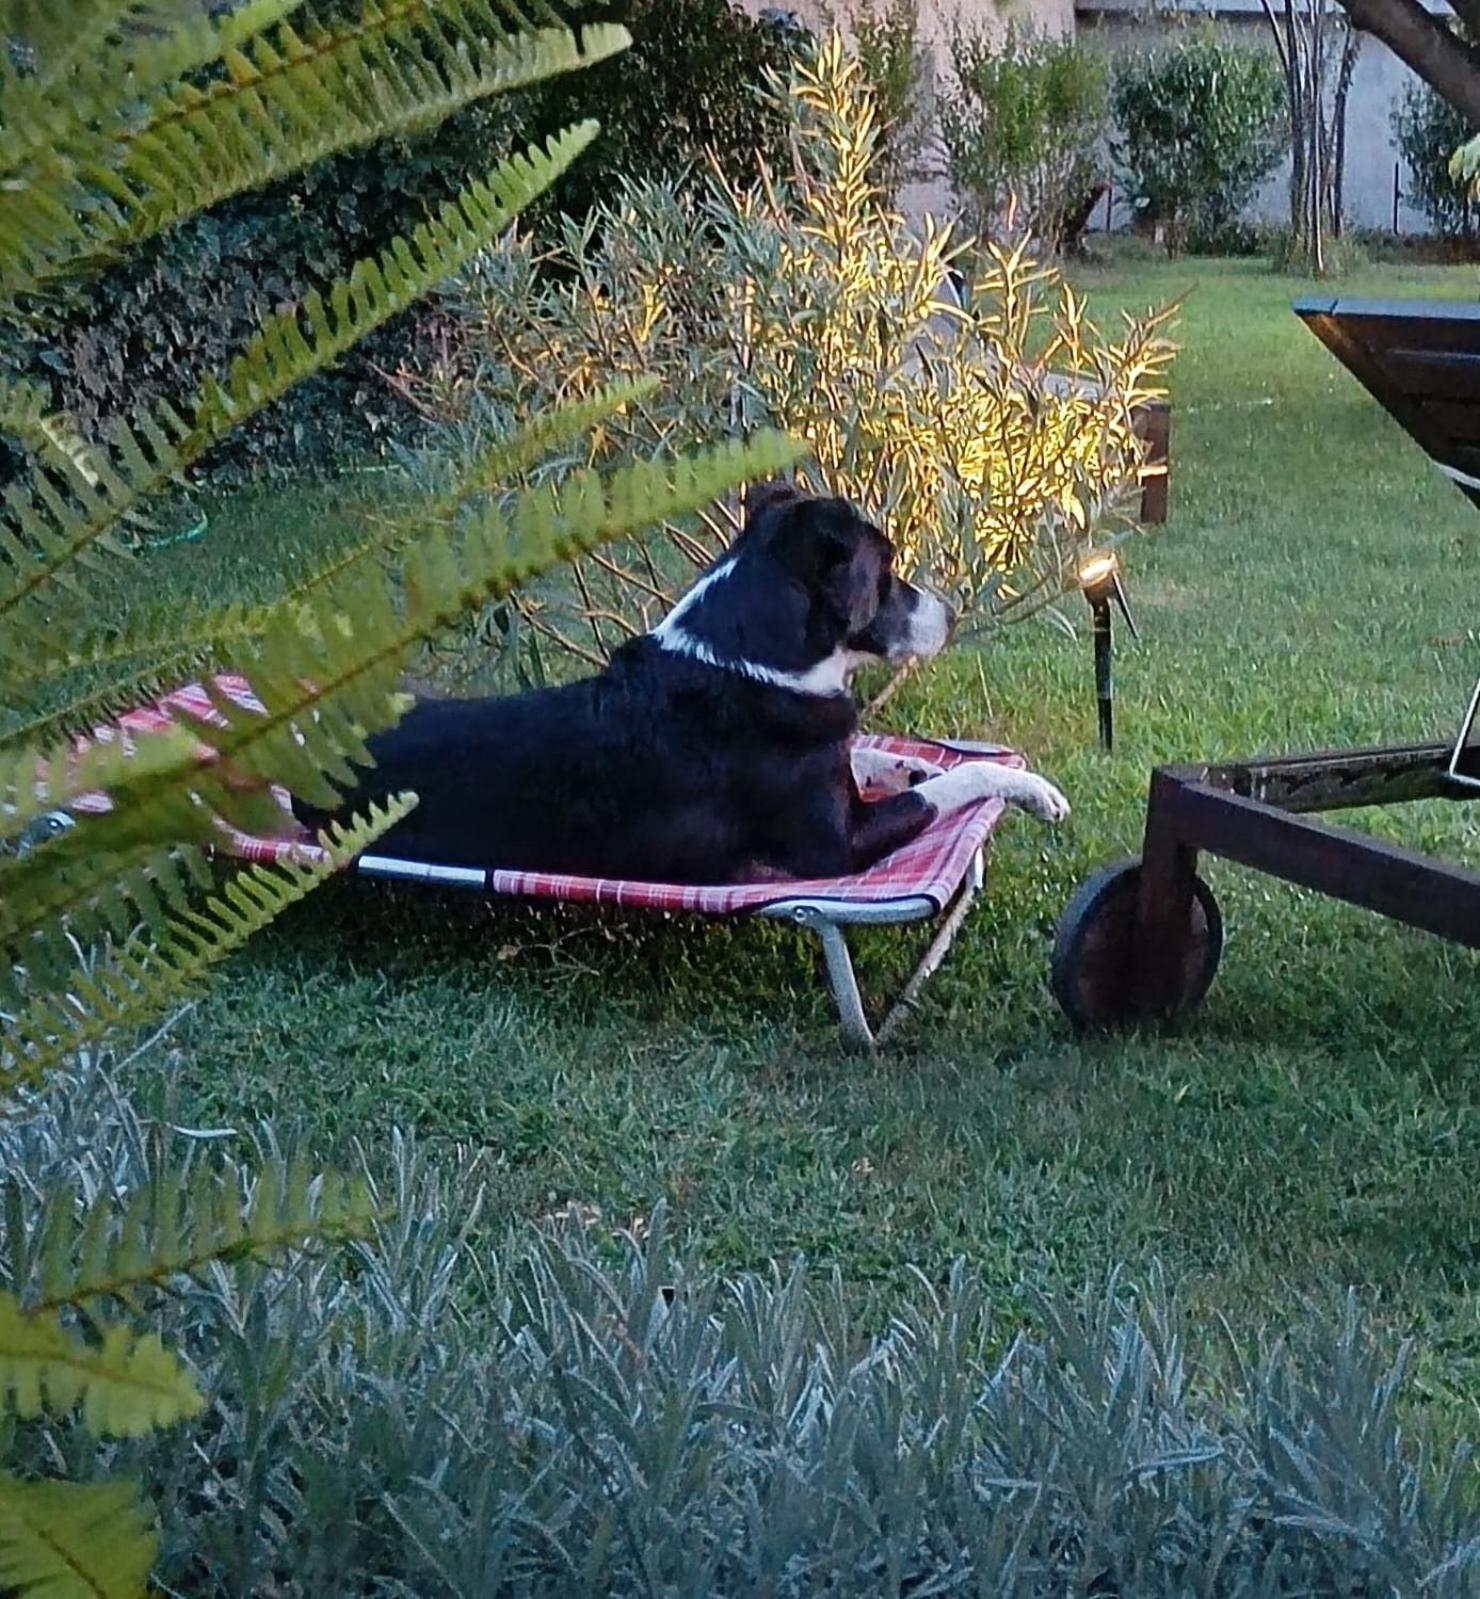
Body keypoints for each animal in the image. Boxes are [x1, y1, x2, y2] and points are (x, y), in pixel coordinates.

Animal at [298, 486, 1067, 889]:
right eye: (886, 571)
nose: (953, 612)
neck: (753, 662)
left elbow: (885, 756)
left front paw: (909, 760)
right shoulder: (835, 849)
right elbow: (956, 781)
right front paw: (1030, 789)